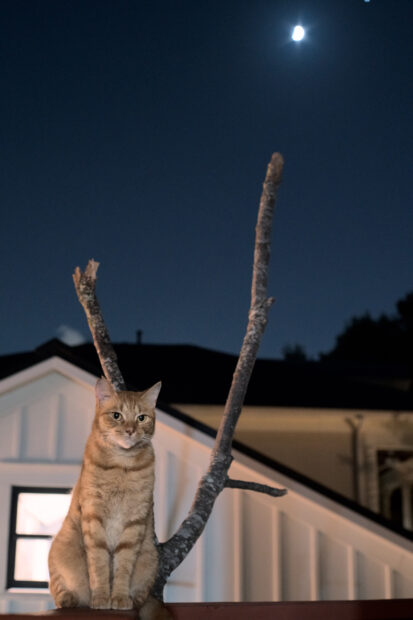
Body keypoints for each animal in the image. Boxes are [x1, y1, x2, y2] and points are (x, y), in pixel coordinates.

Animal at [48, 376, 171, 616]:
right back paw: (69, 599)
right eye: (116, 415)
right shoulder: (94, 518)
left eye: (141, 418)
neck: (121, 465)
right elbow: (99, 566)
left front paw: (120, 598)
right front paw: (101, 598)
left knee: (142, 597)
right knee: (58, 589)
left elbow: (122, 566)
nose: (130, 430)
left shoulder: (134, 521)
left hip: (150, 559)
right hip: (60, 548)